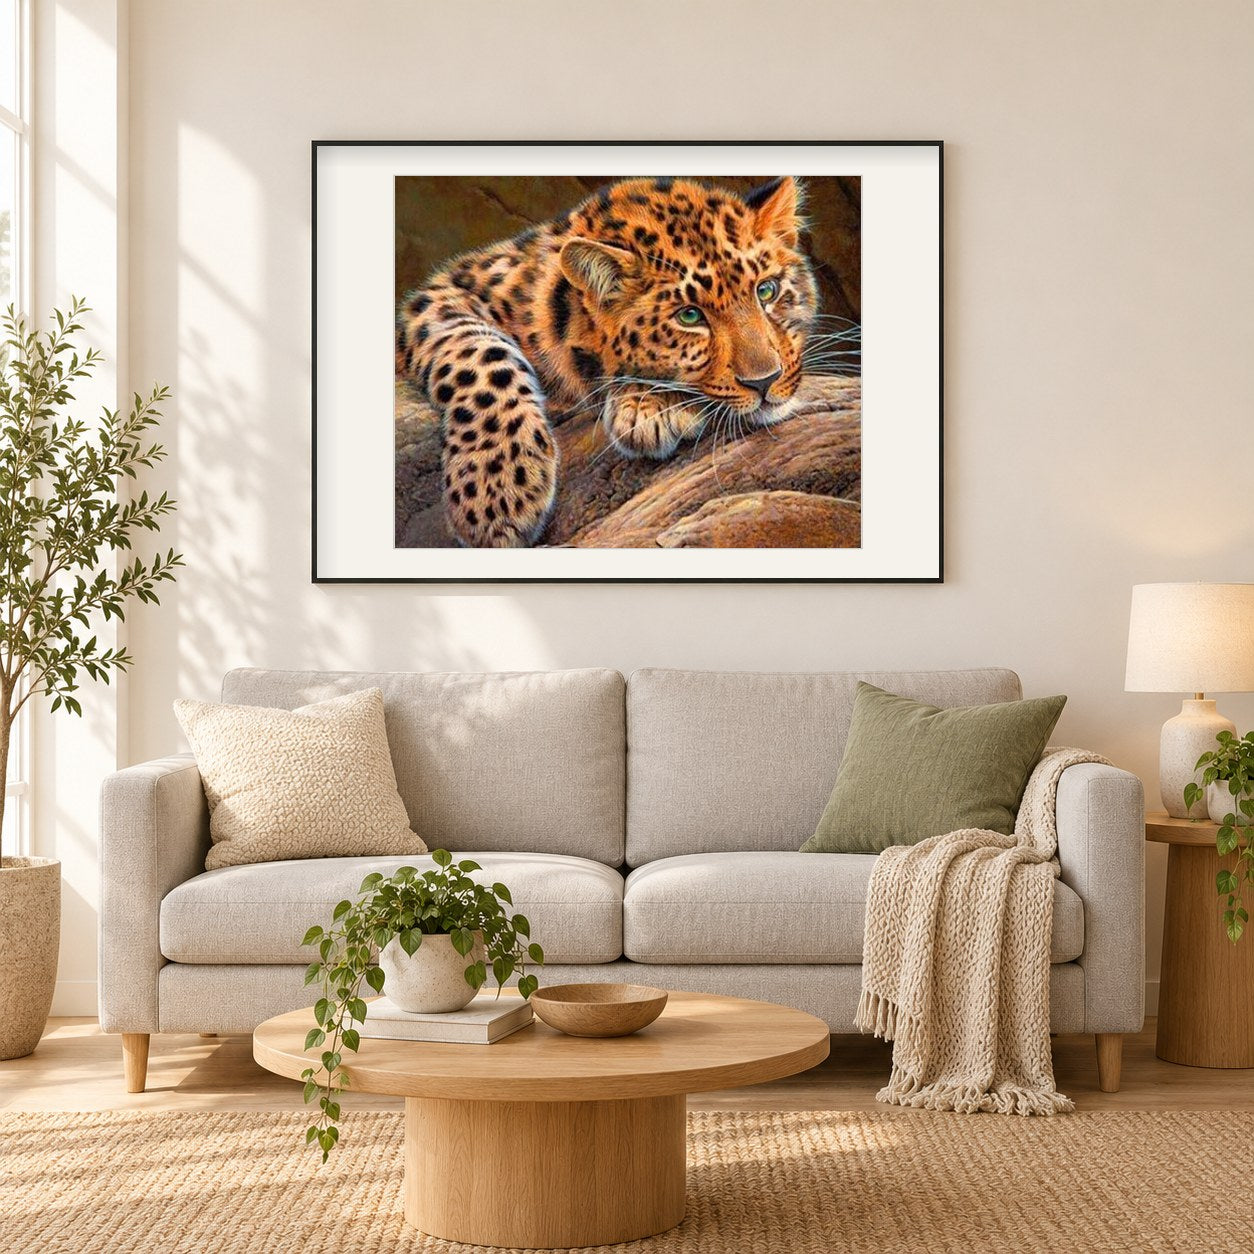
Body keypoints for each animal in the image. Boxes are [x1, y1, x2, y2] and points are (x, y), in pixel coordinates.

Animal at [395, 175, 818, 548]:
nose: (765, 381)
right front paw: (497, 489)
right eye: (689, 316)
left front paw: (648, 405)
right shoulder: (438, 298)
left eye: (767, 291)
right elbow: (480, 352)